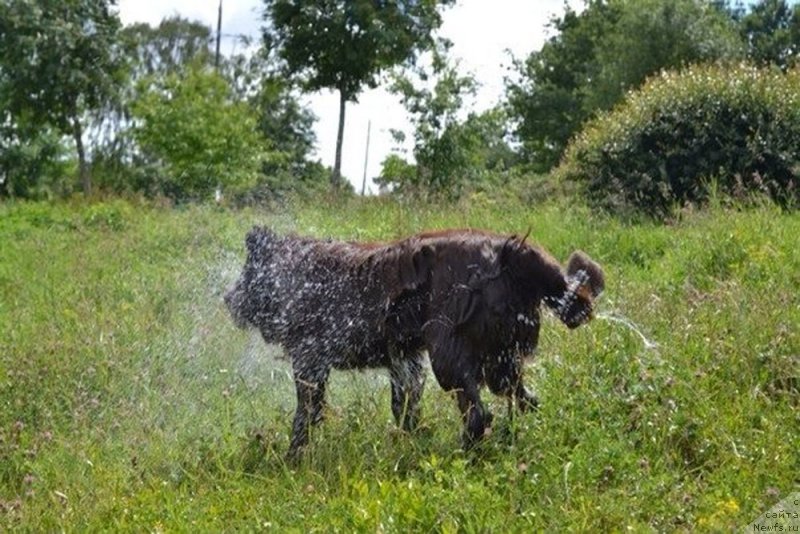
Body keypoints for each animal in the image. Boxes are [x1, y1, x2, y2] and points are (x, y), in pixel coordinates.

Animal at [222, 228, 604, 458]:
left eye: (245, 274)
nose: (228, 299)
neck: (298, 274)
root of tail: (511, 253)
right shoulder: (405, 358)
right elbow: (405, 405)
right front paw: (414, 440)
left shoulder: (310, 359)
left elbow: (305, 414)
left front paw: (292, 458)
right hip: (502, 359)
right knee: (525, 400)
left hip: (449, 353)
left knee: (478, 413)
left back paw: (462, 454)